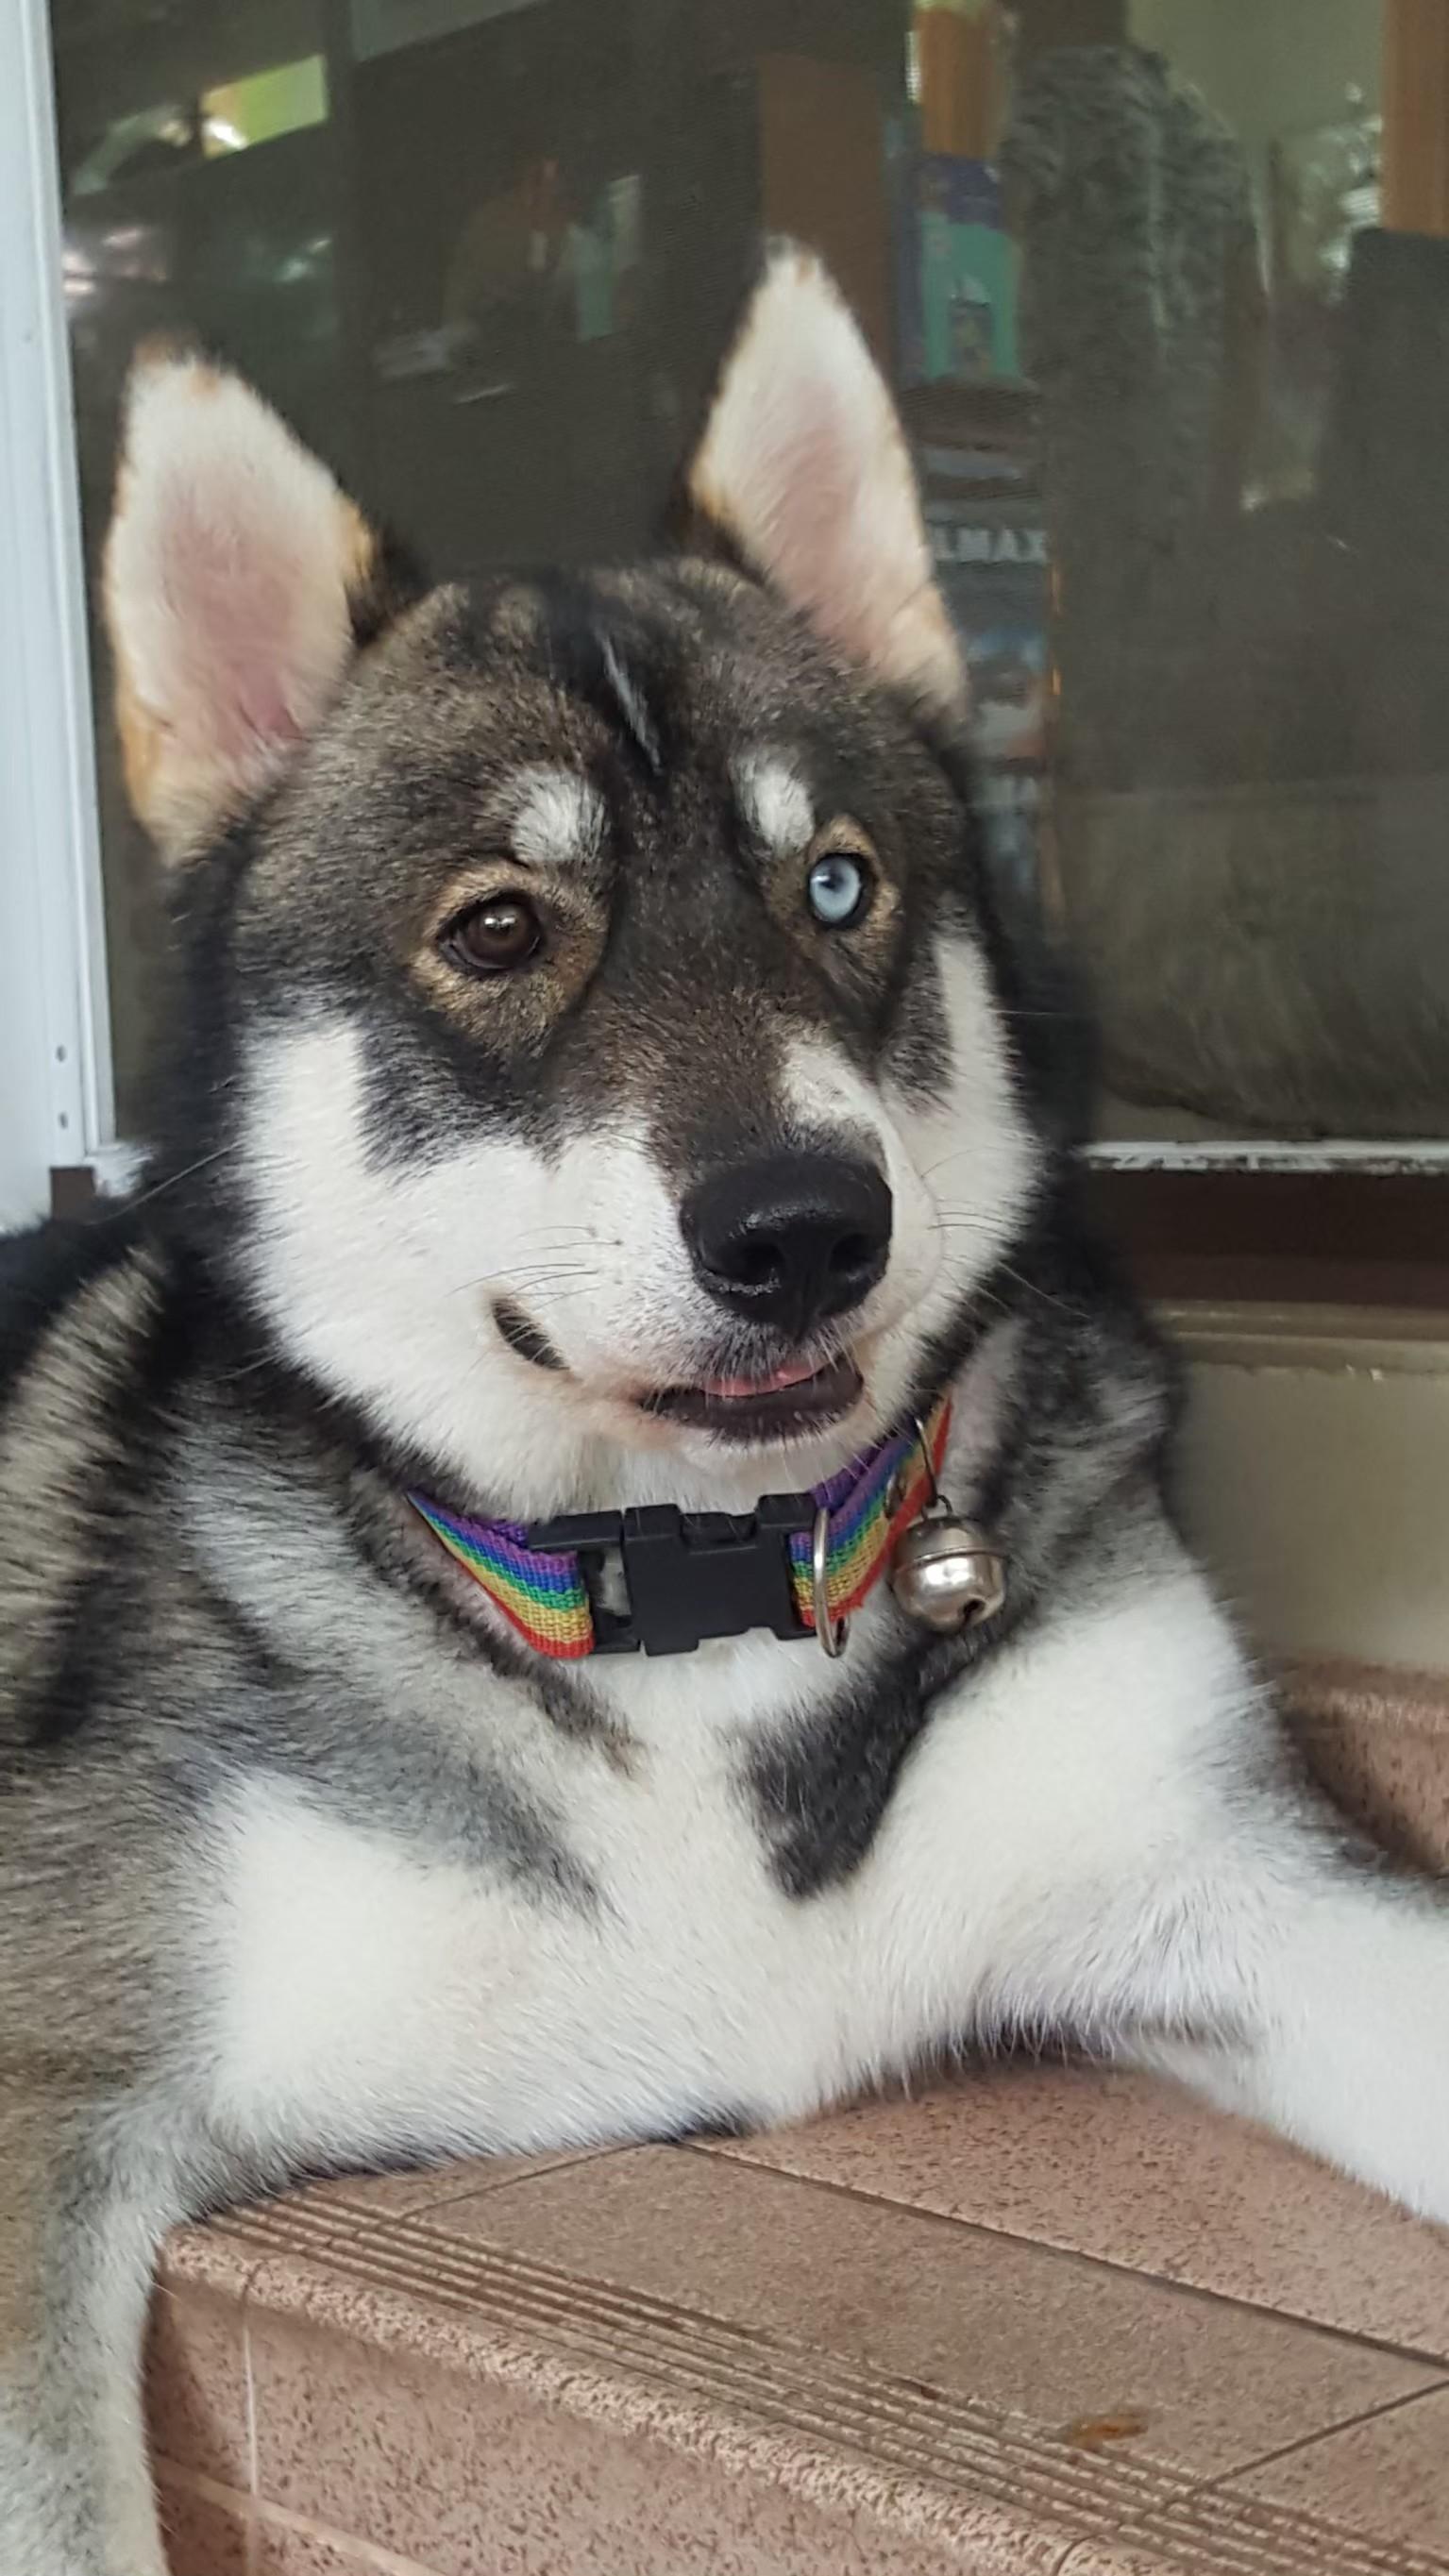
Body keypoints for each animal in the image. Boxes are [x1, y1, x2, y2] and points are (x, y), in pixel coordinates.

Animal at [3, 243, 1447, 2576]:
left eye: (835, 884)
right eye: (501, 927)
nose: (803, 1229)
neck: (690, 1596)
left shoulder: (1238, 1875)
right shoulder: (44, 2081)